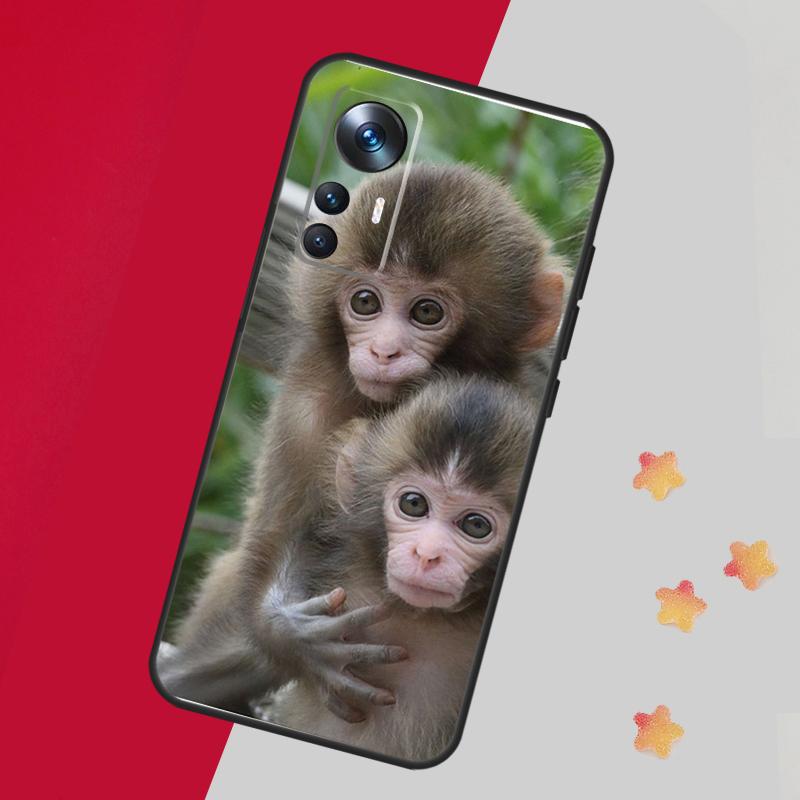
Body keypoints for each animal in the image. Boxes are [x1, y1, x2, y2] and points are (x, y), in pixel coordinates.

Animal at [156, 162, 563, 716]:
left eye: (427, 313)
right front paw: (293, 634)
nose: (384, 351)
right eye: (366, 302)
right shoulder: (309, 399)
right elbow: (277, 534)